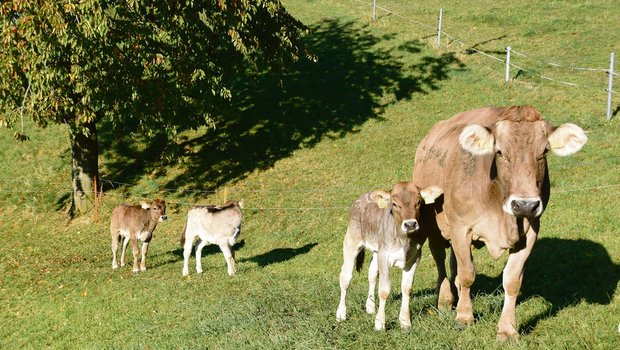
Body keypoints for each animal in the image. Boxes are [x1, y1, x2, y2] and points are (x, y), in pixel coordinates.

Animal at [336, 183, 444, 330]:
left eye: (418, 202)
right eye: (394, 204)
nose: (410, 224)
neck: (404, 240)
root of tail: (361, 198)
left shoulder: (414, 257)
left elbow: (407, 288)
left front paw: (405, 322)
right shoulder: (385, 256)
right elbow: (384, 290)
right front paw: (380, 323)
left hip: (377, 250)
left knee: (371, 274)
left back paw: (370, 307)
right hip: (351, 242)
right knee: (345, 278)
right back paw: (341, 313)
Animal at [412, 106, 588, 340]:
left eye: (543, 152)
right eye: (500, 152)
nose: (525, 205)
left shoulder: (530, 231)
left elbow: (512, 280)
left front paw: (507, 328)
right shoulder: (461, 228)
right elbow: (468, 274)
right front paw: (464, 317)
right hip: (434, 225)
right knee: (439, 257)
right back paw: (445, 299)